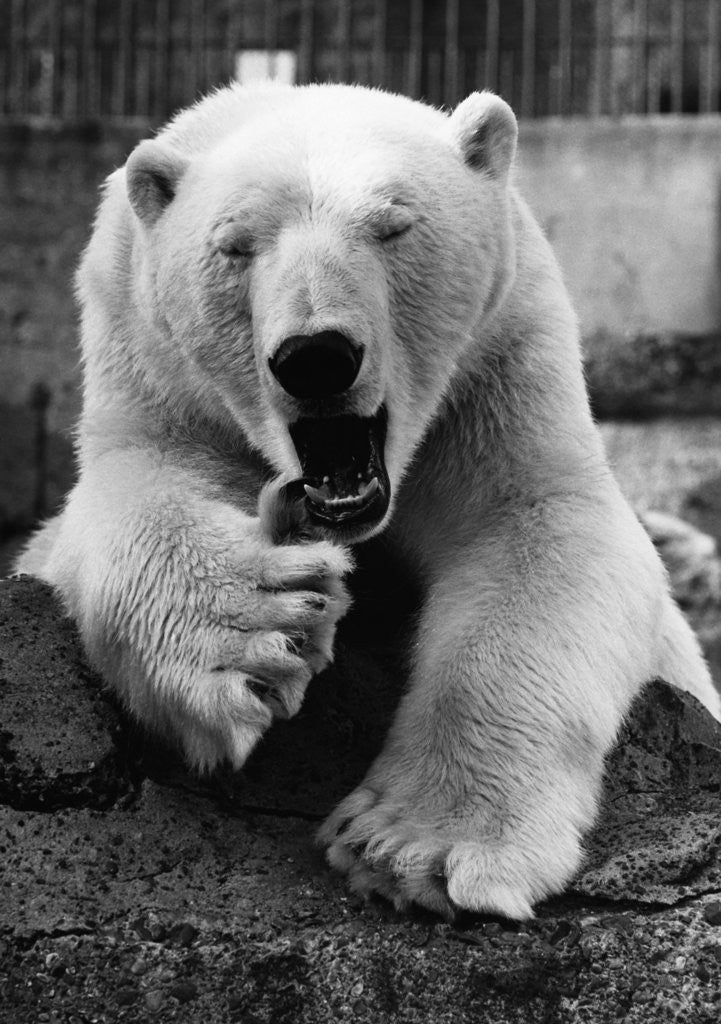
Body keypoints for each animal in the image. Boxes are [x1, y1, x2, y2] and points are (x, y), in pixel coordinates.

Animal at [15, 83, 716, 921]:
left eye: (393, 226)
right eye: (235, 245)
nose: (315, 357)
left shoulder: (497, 370)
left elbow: (539, 530)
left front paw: (413, 847)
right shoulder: (153, 374)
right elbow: (129, 493)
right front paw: (264, 635)